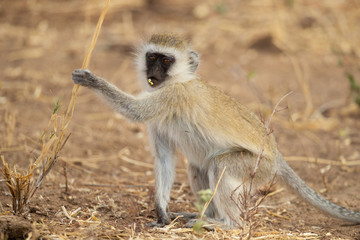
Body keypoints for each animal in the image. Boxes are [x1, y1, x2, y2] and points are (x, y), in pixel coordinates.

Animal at [71, 32, 360, 226]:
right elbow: (164, 159)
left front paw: (92, 80)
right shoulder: (158, 121)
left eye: (166, 61)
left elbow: (135, 110)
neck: (177, 81)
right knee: (197, 166)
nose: (153, 72)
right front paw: (161, 211)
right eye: (151, 57)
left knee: (220, 166)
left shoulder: (172, 96)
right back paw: (204, 214)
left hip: (258, 169)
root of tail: (277, 157)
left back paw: (226, 224)